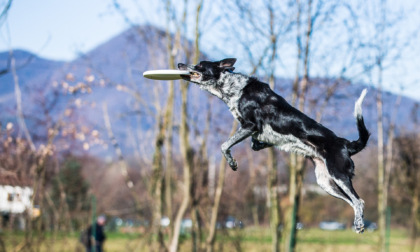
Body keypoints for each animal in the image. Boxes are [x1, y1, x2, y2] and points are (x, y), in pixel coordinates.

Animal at [179, 58, 370, 233]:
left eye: (200, 65)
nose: (180, 64)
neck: (233, 87)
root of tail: (347, 144)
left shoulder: (250, 125)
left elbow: (224, 145)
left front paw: (232, 163)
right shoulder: (254, 133)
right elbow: (255, 145)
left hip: (339, 175)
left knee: (358, 201)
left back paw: (359, 224)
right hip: (326, 183)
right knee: (353, 202)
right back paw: (357, 224)